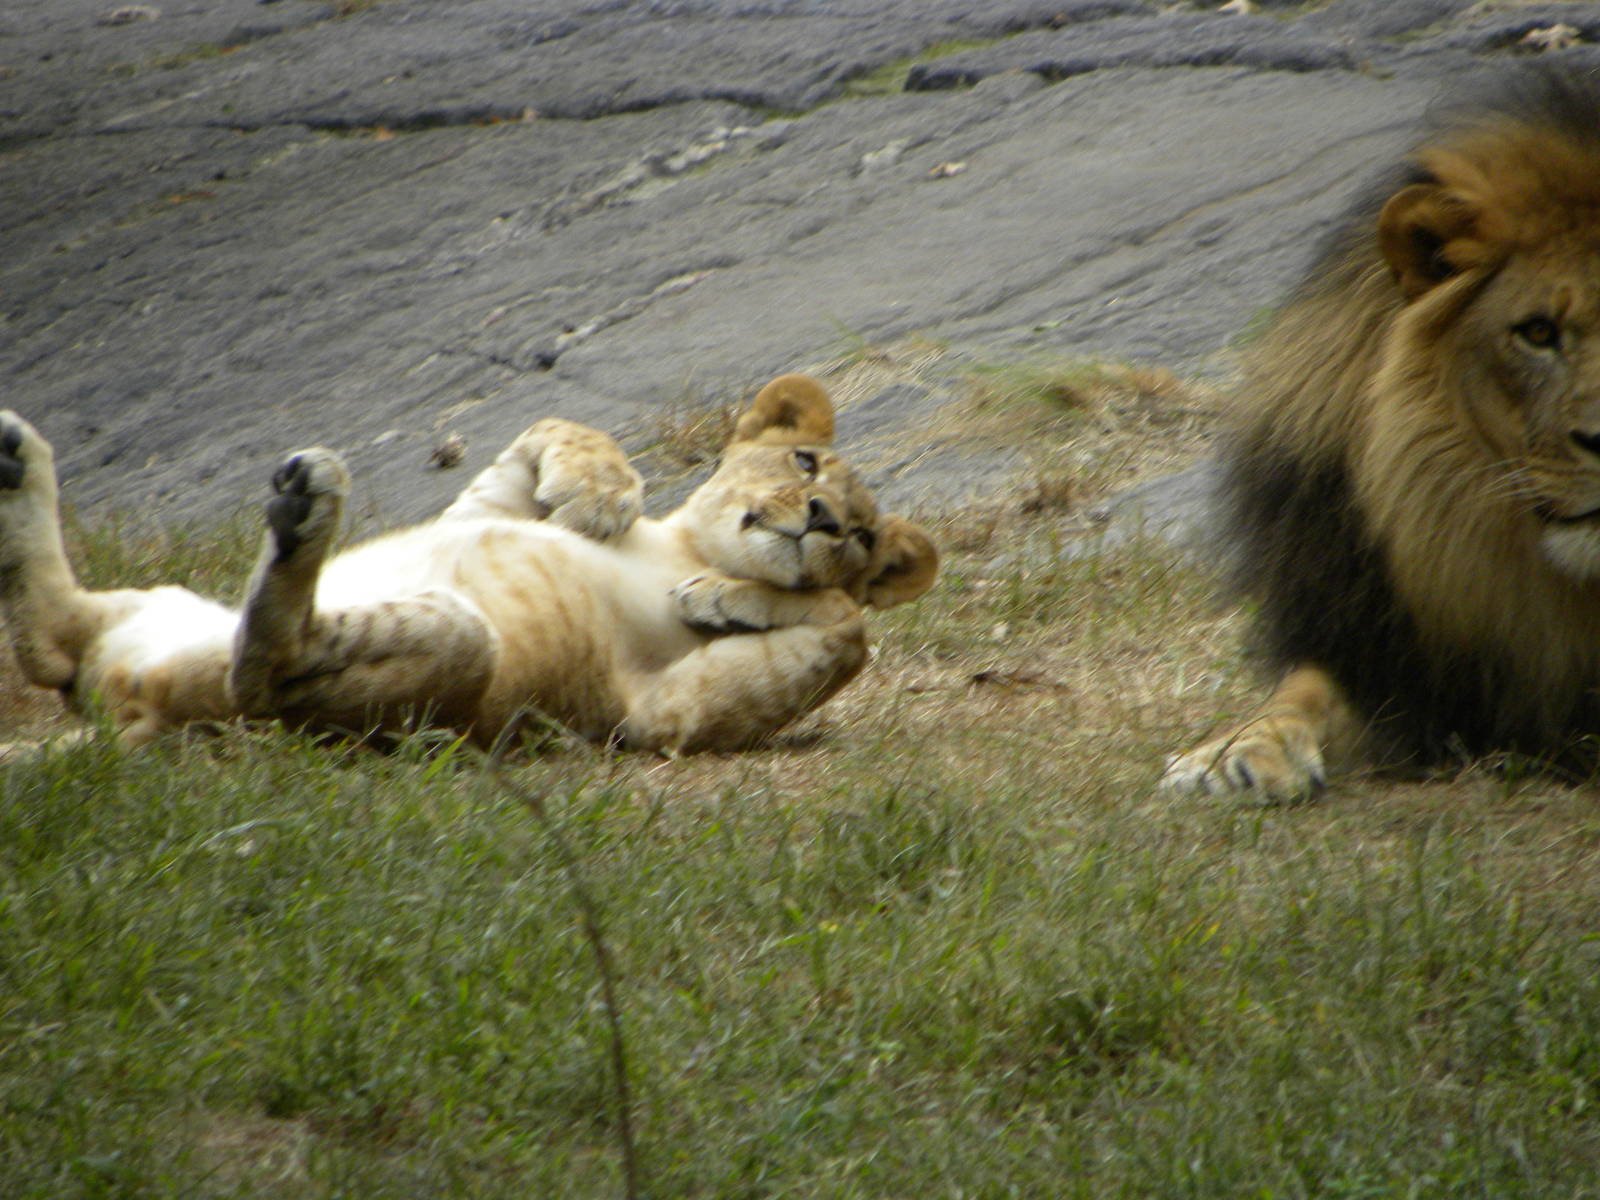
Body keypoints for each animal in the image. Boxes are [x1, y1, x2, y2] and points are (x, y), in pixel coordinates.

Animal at [0, 374, 938, 755]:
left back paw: (304, 513)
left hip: (445, 655)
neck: (680, 544)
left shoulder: (657, 722)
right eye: (807, 464)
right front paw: (598, 494)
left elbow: (848, 629)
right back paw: (17, 454)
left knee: (262, 671)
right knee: (55, 639)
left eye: (860, 538)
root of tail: (135, 713)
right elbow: (557, 425)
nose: (823, 520)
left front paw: (722, 600)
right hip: (160, 603)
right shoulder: (480, 512)